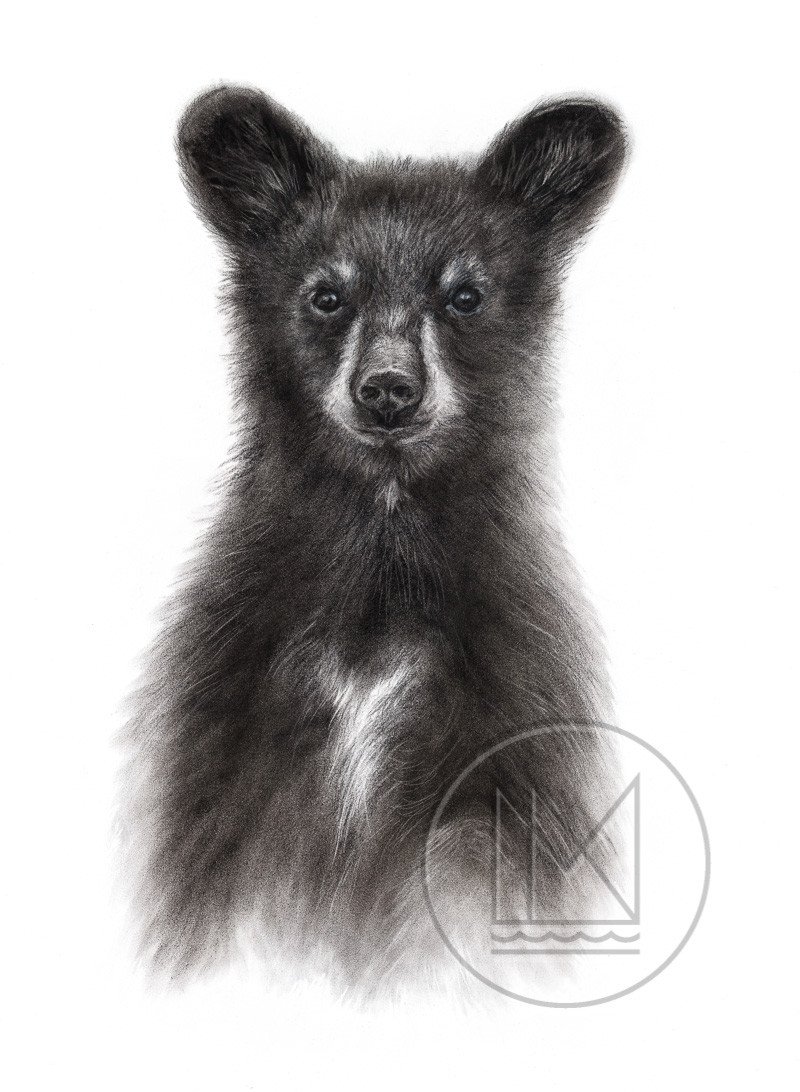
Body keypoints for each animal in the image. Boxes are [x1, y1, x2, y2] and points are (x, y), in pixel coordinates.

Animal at [120, 85, 628, 1001]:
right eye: (327, 296)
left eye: (464, 295)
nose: (388, 390)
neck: (382, 551)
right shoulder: (229, 723)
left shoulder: (512, 734)